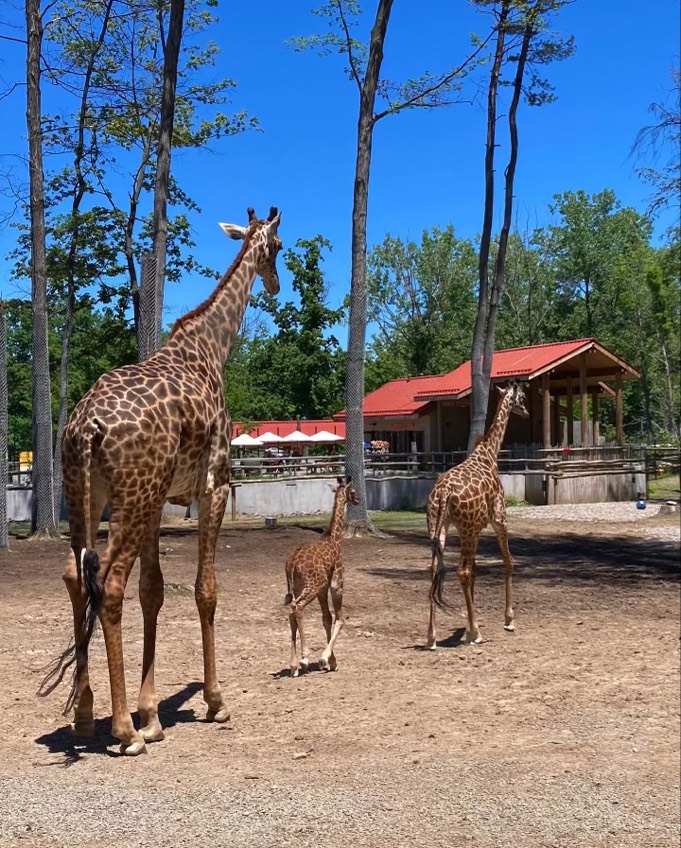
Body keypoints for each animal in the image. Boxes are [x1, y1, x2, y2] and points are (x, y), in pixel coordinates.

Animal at [38, 205, 282, 756]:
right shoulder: (213, 484)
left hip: (89, 493)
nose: (277, 284)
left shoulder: (161, 500)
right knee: (108, 584)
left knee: (74, 575)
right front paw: (213, 701)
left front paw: (151, 713)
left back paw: (85, 715)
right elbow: (204, 590)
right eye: (279, 248)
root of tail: (88, 427)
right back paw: (123, 732)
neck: (212, 348)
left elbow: (154, 591)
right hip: (128, 495)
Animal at [282, 474, 358, 680]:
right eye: (353, 491)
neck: (334, 539)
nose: (358, 500)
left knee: (291, 611)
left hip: (298, 587)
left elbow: (326, 618)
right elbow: (339, 618)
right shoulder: (336, 582)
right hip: (313, 585)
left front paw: (332, 661)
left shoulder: (323, 591)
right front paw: (327, 660)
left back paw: (293, 666)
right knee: (297, 607)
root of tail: (291, 564)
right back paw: (304, 659)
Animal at [428, 384, 528, 648]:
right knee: (462, 571)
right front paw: (508, 619)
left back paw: (431, 636)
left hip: (438, 527)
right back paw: (477, 634)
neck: (490, 453)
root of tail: (443, 492)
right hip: (466, 528)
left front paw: (468, 626)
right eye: (522, 397)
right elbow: (508, 561)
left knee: (435, 568)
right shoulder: (499, 518)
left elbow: (475, 569)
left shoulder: (476, 528)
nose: (526, 412)